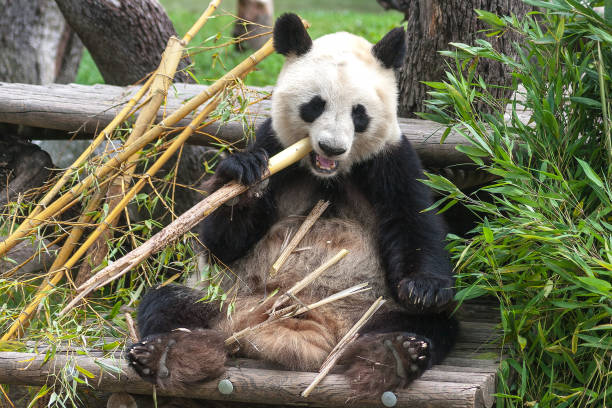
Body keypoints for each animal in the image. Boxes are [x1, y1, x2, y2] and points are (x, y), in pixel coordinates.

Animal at [126, 11, 456, 398]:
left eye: (359, 113)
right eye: (315, 105)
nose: (331, 147)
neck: (326, 174)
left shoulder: (390, 159)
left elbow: (413, 221)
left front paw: (424, 288)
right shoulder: (273, 144)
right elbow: (222, 246)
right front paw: (244, 177)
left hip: (368, 309)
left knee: (427, 323)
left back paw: (393, 354)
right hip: (224, 300)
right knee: (167, 304)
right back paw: (168, 355)